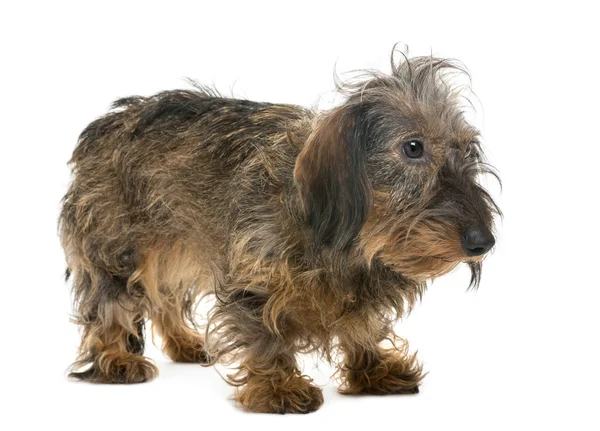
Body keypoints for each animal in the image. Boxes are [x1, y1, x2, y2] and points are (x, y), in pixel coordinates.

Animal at [61, 52, 500, 414]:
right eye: (413, 147)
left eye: (468, 151)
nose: (483, 242)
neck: (347, 243)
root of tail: (105, 124)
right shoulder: (253, 279)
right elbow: (266, 335)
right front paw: (278, 387)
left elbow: (361, 324)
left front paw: (372, 370)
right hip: (119, 247)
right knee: (111, 302)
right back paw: (117, 358)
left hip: (177, 244)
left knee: (164, 297)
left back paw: (185, 341)